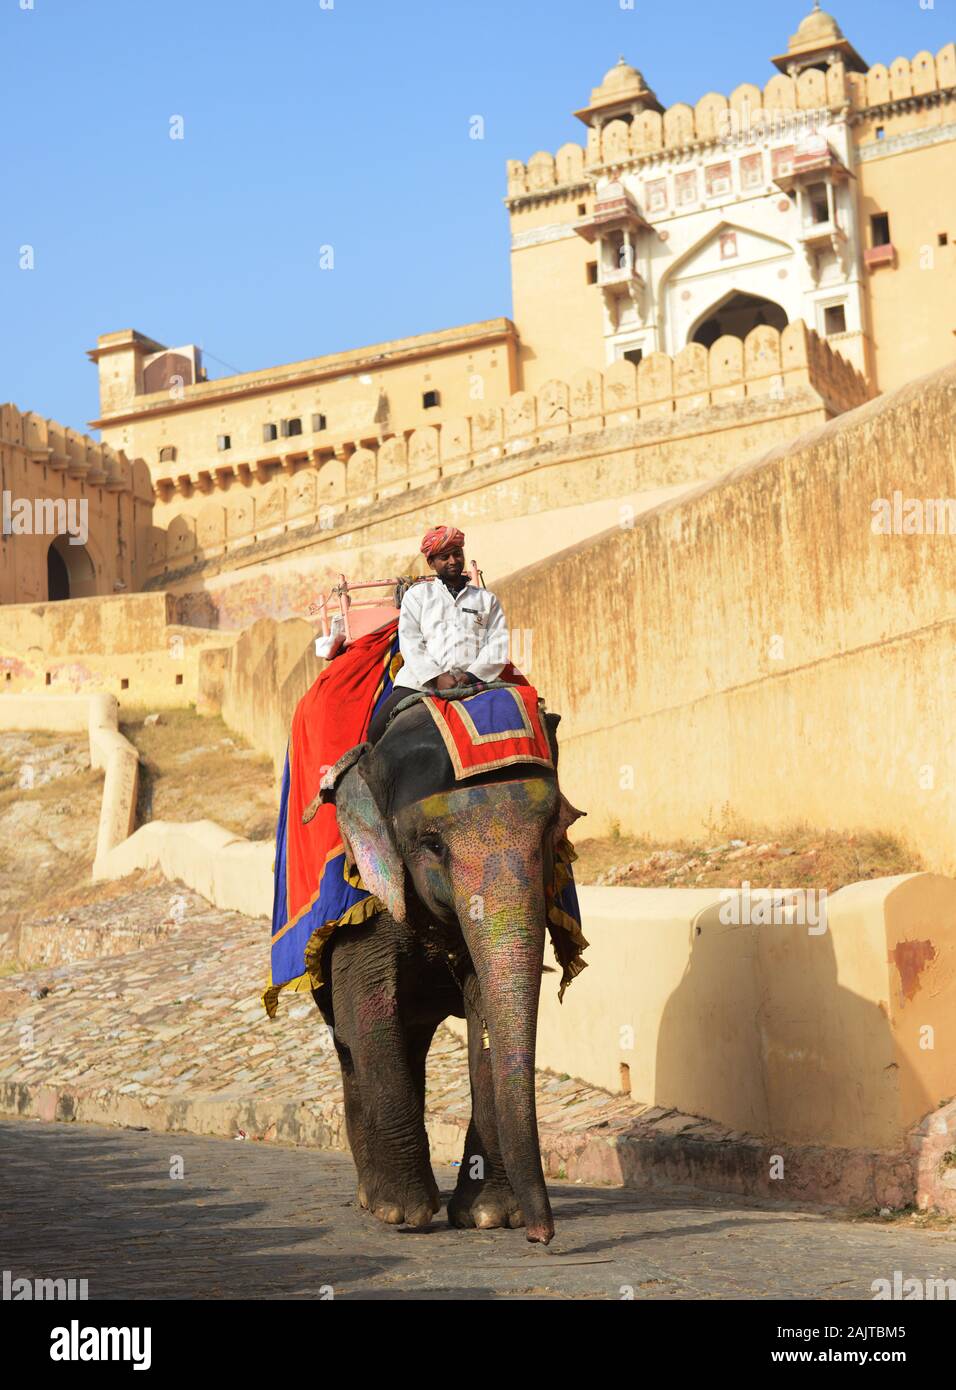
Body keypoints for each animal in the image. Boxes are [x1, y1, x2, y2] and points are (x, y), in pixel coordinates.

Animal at [314, 695, 583, 1251]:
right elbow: (371, 1014)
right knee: (352, 1043)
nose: (542, 1236)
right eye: (432, 844)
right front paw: (406, 1214)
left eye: (552, 832)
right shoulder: (367, 902)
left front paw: (490, 1217)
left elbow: (486, 1019)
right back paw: (374, 1201)